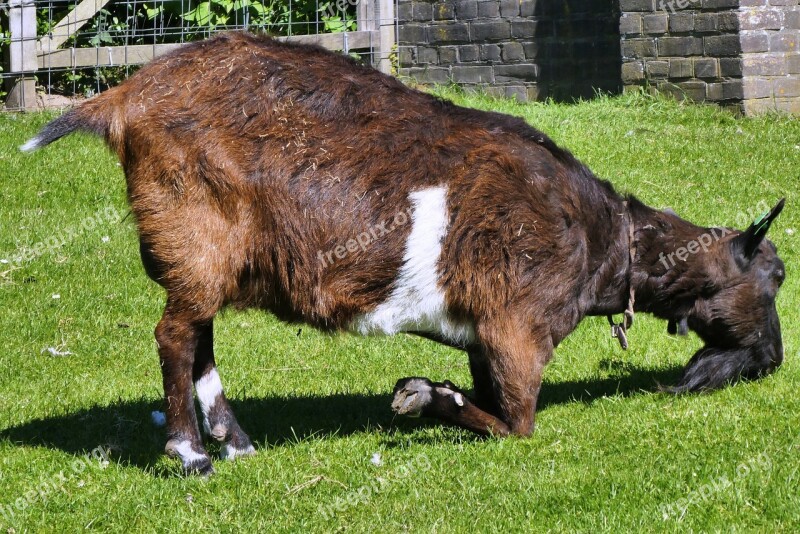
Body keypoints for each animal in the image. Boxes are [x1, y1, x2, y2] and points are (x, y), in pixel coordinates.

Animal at [21, 32, 784, 478]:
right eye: (775, 276)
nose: (775, 360)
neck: (602, 240)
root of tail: (122, 98)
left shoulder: (482, 338)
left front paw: (429, 392)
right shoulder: (518, 330)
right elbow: (516, 426)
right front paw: (422, 395)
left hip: (204, 261)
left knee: (197, 335)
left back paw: (235, 442)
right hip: (194, 237)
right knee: (175, 335)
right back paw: (189, 454)